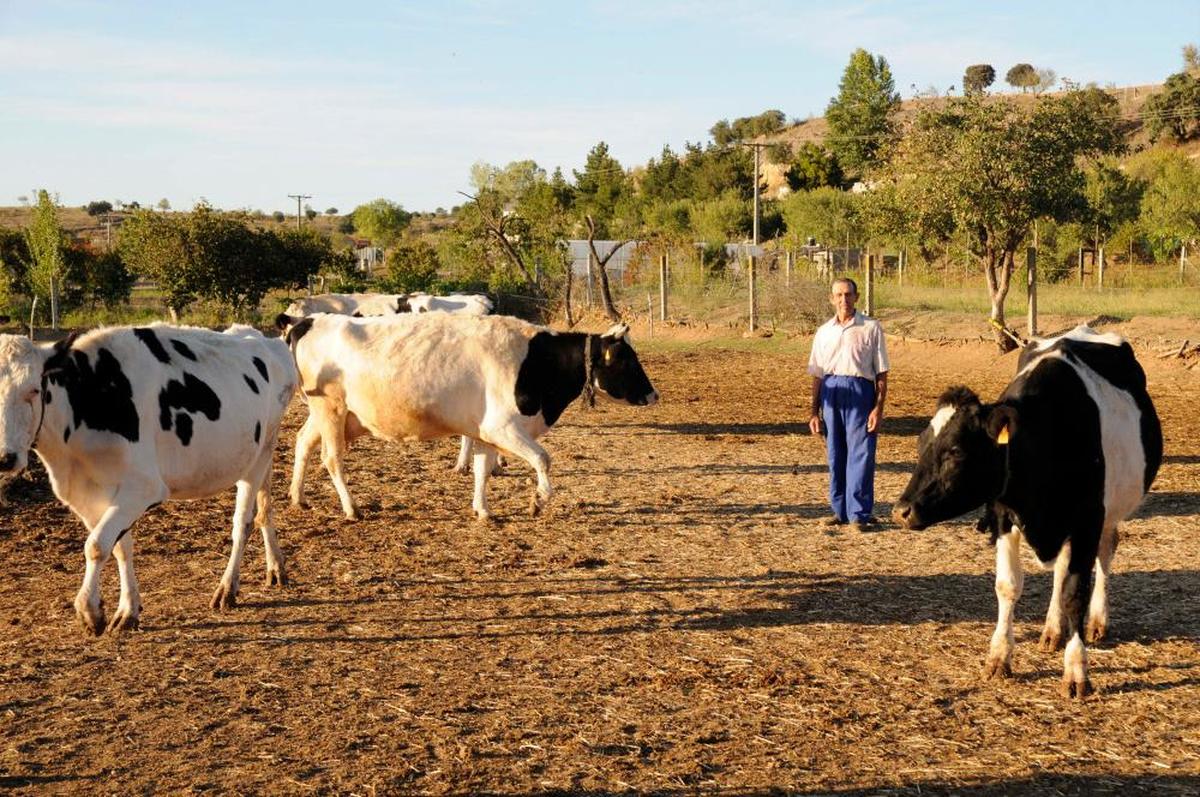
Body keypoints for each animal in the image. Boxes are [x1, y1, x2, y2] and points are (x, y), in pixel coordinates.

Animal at [0, 324, 298, 633]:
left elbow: (96, 546)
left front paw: (89, 609)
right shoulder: (87, 494)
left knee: (243, 522)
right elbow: (118, 547)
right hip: (260, 453)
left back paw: (227, 588)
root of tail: (261, 337)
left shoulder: (144, 487)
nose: (5, 458)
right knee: (264, 509)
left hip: (258, 457)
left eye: (34, 390)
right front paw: (127, 609)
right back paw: (276, 567)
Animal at [277, 312, 662, 523]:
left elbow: (481, 469)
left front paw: (483, 510)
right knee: (331, 458)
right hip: (331, 410)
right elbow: (543, 459)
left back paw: (298, 497)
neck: (535, 360)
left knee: (302, 443)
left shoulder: (484, 430)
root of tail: (307, 321)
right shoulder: (503, 427)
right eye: (627, 360)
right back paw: (351, 508)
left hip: (325, 415)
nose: (653, 395)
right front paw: (538, 500)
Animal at [892, 324, 1161, 696]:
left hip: (1111, 508)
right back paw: (1052, 630)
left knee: (1105, 553)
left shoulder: (1087, 518)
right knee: (1062, 567)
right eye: (920, 444)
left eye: (956, 451)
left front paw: (1077, 671)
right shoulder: (1003, 514)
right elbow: (1008, 586)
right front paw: (999, 657)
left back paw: (1097, 621)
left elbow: (1076, 592)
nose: (901, 511)